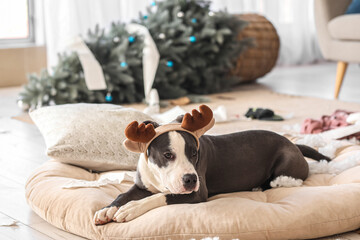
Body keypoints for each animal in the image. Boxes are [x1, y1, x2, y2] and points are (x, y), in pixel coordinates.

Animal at [94, 104, 330, 225]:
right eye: (167, 155)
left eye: (194, 153)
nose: (190, 179)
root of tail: (293, 144)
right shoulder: (141, 185)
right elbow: (122, 194)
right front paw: (107, 210)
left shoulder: (196, 193)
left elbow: (160, 197)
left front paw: (131, 208)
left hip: (285, 160)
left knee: (280, 180)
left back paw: (260, 185)